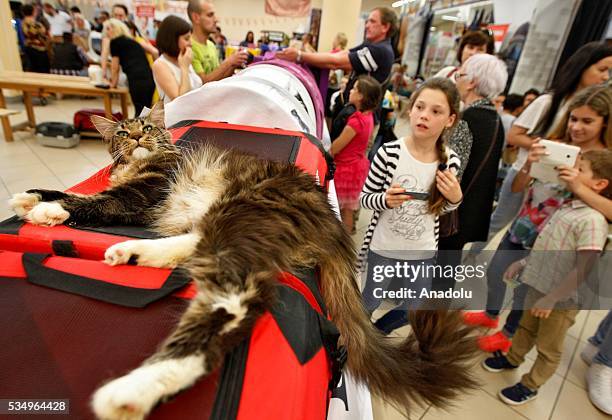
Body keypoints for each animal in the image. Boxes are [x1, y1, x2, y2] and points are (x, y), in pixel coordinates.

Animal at [7, 102, 480, 420]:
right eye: (123, 133)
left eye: (147, 128)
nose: (139, 138)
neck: (146, 162)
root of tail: (331, 222)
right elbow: (77, 194)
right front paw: (33, 200)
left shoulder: (143, 193)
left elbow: (89, 201)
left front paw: (45, 208)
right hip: (222, 222)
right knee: (191, 246)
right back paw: (131, 251)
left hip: (238, 220)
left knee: (231, 304)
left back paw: (131, 392)